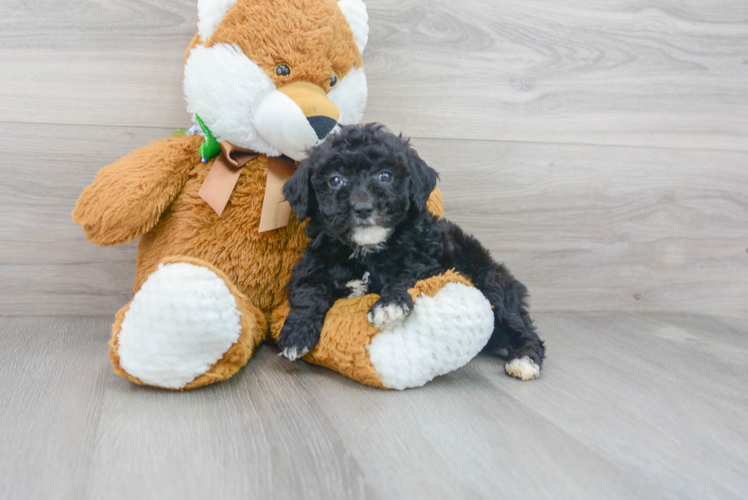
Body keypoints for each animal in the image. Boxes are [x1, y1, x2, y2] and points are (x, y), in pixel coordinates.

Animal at [278, 124, 548, 378]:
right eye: (335, 180)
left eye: (385, 176)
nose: (363, 208)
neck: (367, 251)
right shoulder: (313, 264)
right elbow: (309, 292)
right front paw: (295, 335)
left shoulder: (425, 261)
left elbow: (403, 278)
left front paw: (389, 305)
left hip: (492, 282)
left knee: (520, 327)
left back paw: (525, 360)